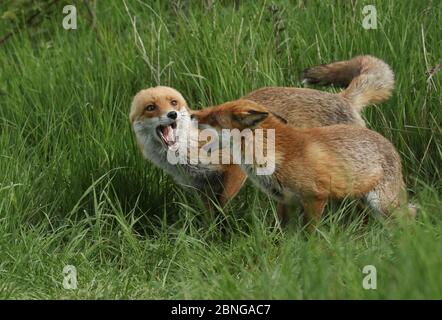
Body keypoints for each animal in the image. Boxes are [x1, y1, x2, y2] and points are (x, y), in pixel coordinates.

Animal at [130, 55, 394, 209]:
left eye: (174, 103)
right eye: (151, 108)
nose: (172, 115)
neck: (188, 150)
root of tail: (342, 98)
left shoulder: (234, 169)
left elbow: (223, 208)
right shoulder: (201, 188)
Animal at [192, 100, 416, 228]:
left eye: (213, 117)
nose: (192, 114)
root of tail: (391, 146)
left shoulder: (316, 198)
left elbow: (311, 237)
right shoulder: (285, 201)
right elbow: (283, 235)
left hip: (382, 204)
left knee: (409, 218)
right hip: (365, 202)